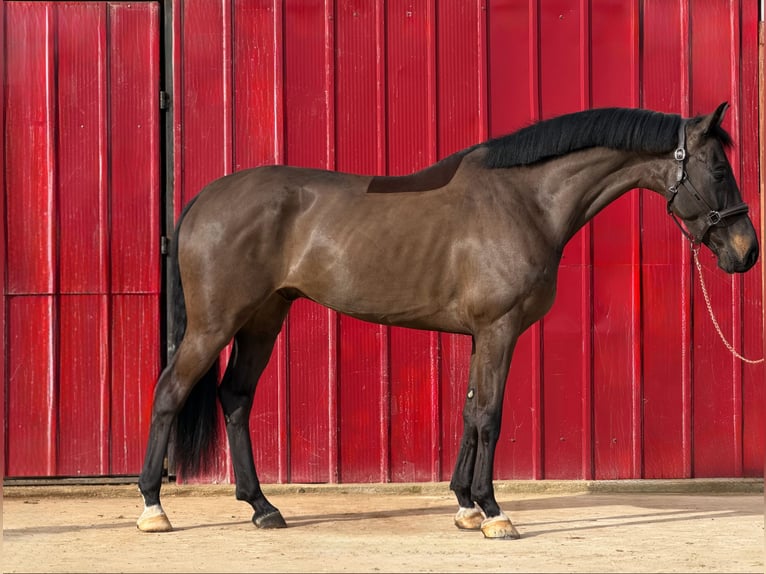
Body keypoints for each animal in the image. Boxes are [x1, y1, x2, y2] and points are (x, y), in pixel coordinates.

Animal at [137, 102, 758, 539]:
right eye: (718, 168)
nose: (746, 251)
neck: (526, 201)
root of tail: (204, 200)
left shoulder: (483, 334)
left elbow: (467, 412)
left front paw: (464, 504)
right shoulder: (499, 329)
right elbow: (489, 417)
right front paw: (493, 512)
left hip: (264, 319)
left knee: (236, 398)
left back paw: (263, 507)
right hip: (215, 325)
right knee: (169, 391)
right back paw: (152, 506)